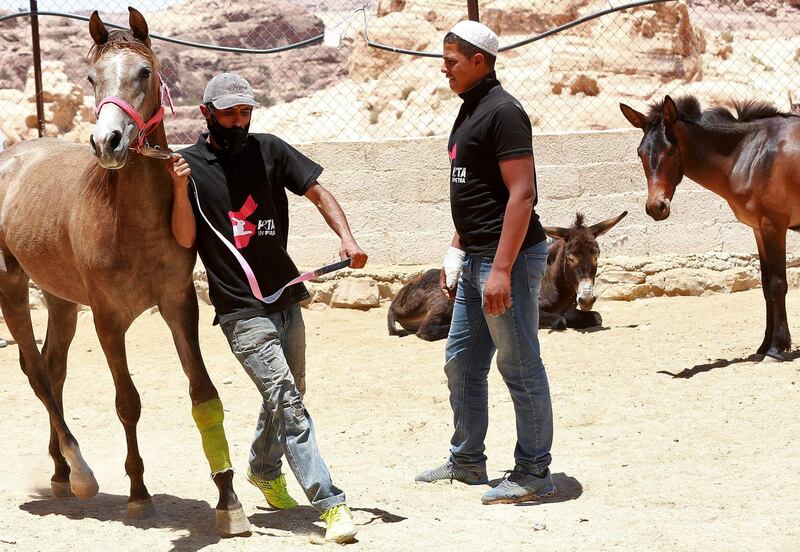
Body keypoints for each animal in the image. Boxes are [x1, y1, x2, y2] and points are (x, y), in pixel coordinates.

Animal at [0, 7, 247, 536]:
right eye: (92, 78)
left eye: (144, 72)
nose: (107, 142)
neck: (132, 220)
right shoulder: (108, 319)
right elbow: (127, 402)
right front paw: (138, 494)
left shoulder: (179, 306)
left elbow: (203, 392)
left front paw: (228, 499)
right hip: (11, 287)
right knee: (37, 373)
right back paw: (81, 475)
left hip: (59, 298)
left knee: (53, 368)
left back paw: (59, 470)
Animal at [624, 95, 800, 360]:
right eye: (640, 153)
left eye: (671, 150)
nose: (656, 207)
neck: (752, 154)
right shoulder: (758, 230)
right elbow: (765, 286)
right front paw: (764, 346)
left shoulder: (774, 226)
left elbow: (777, 285)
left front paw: (777, 347)